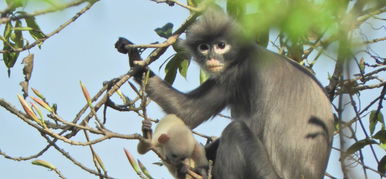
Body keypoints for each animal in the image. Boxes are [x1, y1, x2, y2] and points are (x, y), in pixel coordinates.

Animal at [115, 7, 334, 179]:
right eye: (204, 47)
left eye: (221, 45)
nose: (211, 57)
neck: (246, 56)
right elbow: (188, 111)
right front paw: (134, 57)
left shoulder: (248, 72)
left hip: (265, 174)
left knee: (236, 130)